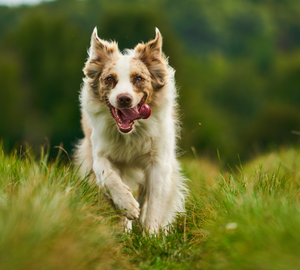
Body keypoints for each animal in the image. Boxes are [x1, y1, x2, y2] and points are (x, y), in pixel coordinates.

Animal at [74, 26, 186, 232]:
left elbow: (155, 205)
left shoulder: (159, 163)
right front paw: (127, 205)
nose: (124, 99)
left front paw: (151, 235)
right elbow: (108, 175)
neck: (131, 133)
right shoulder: (100, 154)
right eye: (110, 79)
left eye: (138, 78)